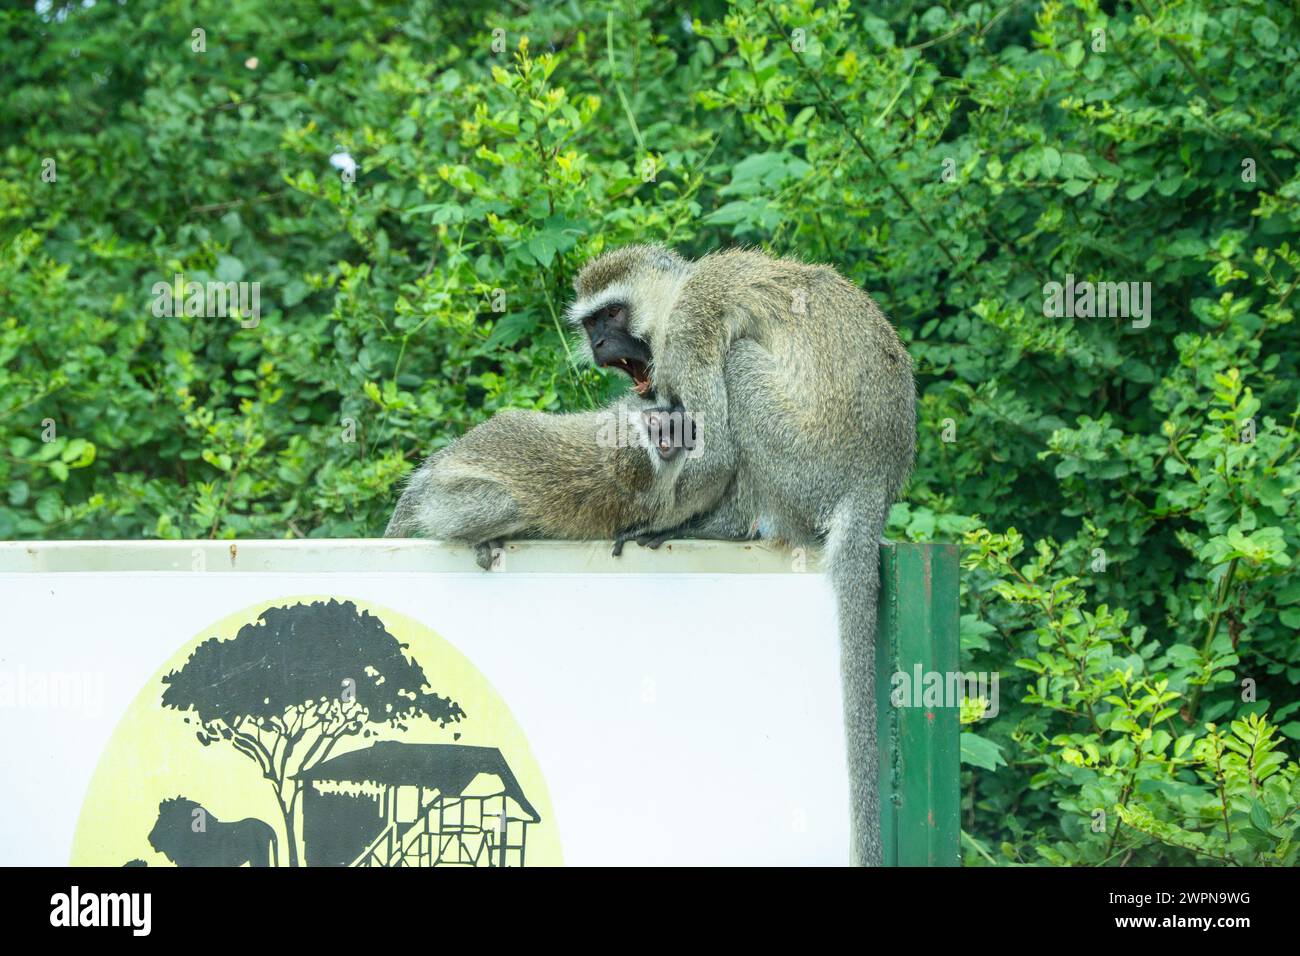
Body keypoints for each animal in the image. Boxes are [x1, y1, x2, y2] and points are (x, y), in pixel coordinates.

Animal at [383, 394, 708, 568]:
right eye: (659, 431)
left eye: (667, 428)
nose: (681, 423)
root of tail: (433, 471)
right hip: (445, 498)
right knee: (507, 505)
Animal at [566, 244, 917, 866]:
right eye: (589, 325)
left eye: (610, 315)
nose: (600, 342)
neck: (673, 298)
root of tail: (873, 480)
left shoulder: (690, 333)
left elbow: (718, 452)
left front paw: (656, 520)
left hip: (805, 463)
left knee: (740, 365)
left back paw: (723, 527)